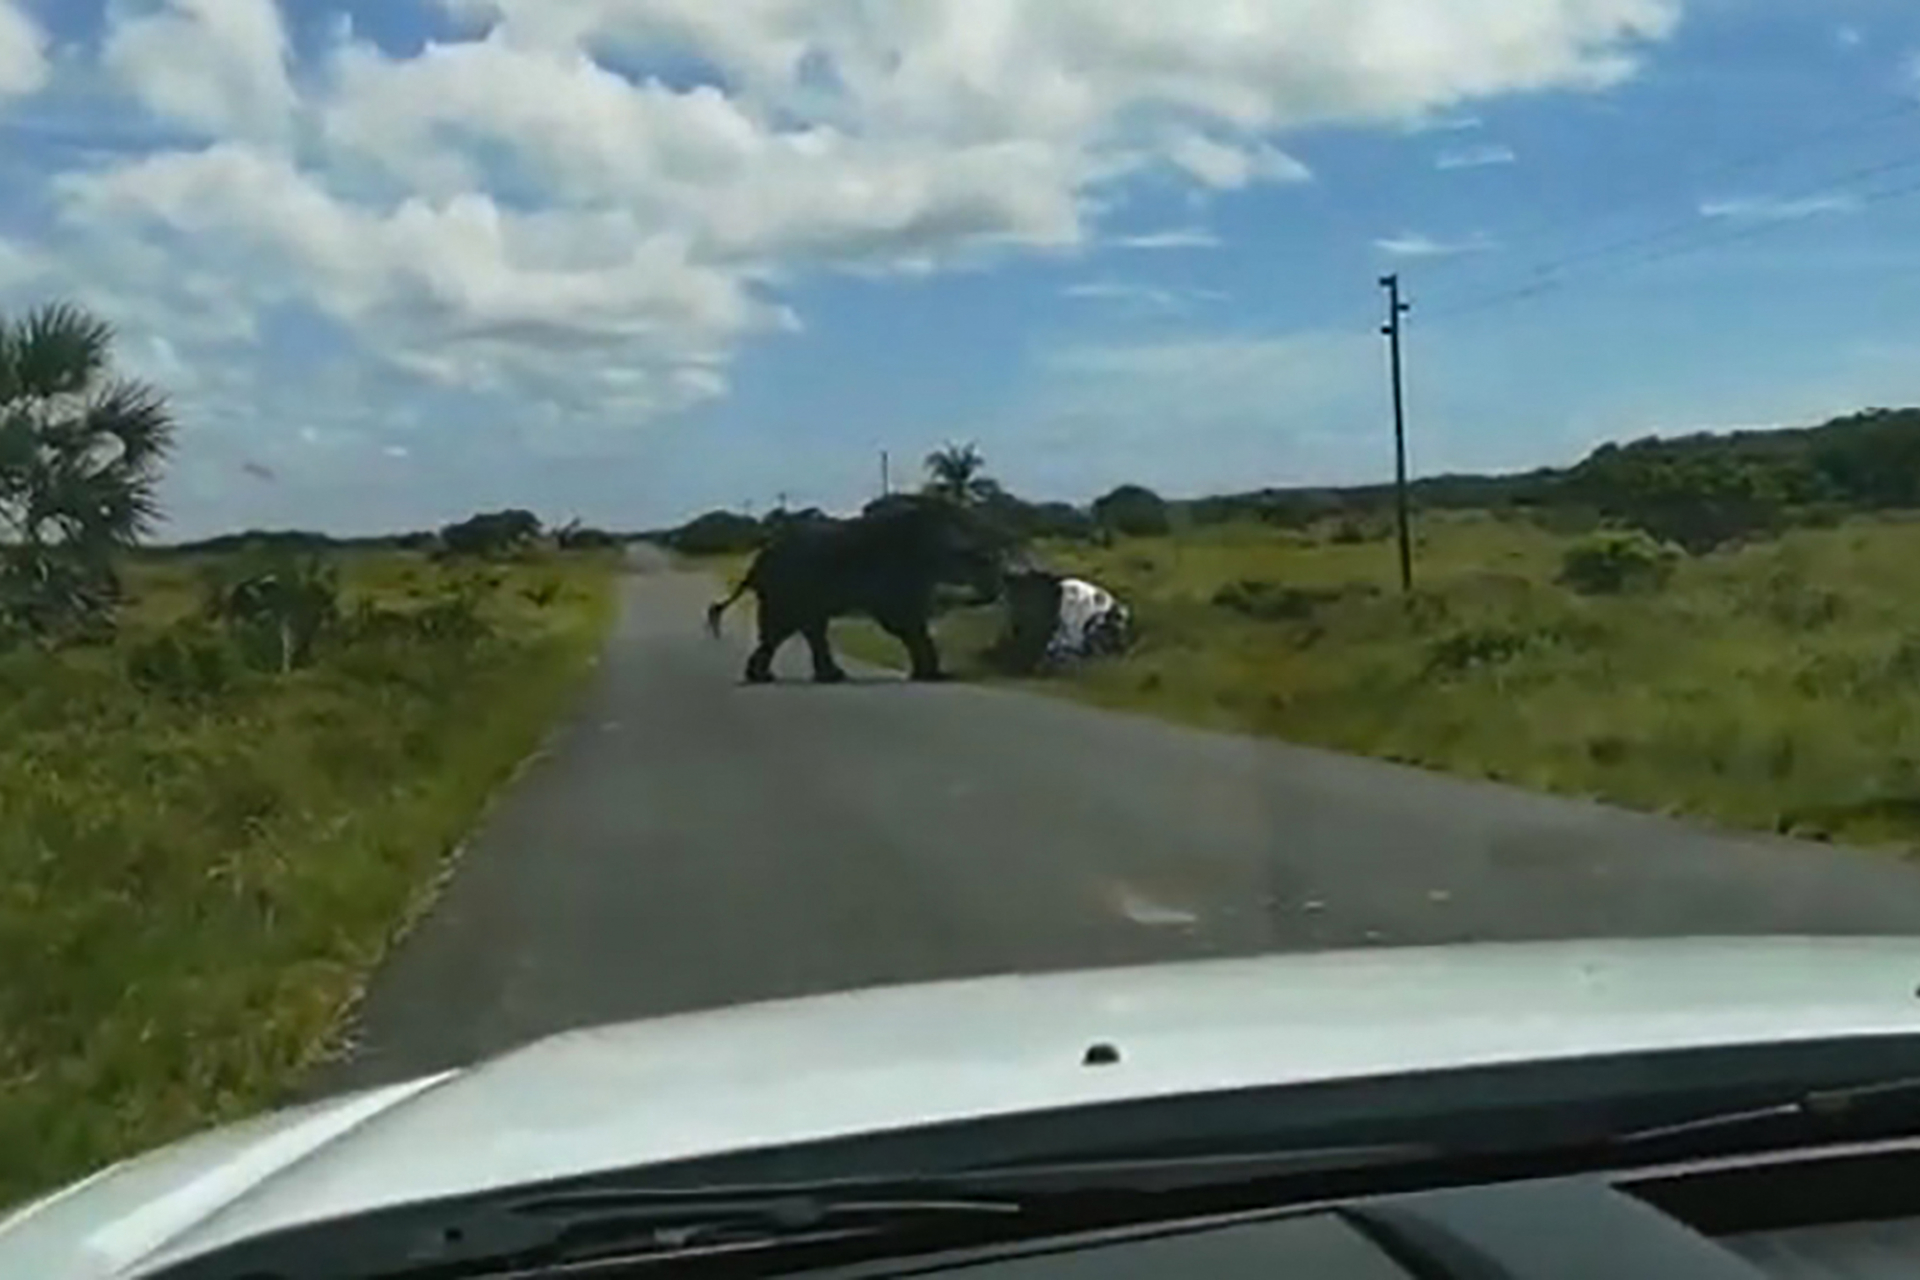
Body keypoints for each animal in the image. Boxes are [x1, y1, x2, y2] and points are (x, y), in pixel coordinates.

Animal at [706, 496, 1007, 685]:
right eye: (981, 561)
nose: (994, 591)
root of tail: (757, 563)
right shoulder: (897, 571)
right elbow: (902, 621)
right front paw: (934, 676)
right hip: (790, 586)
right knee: (786, 628)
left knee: (796, 629)